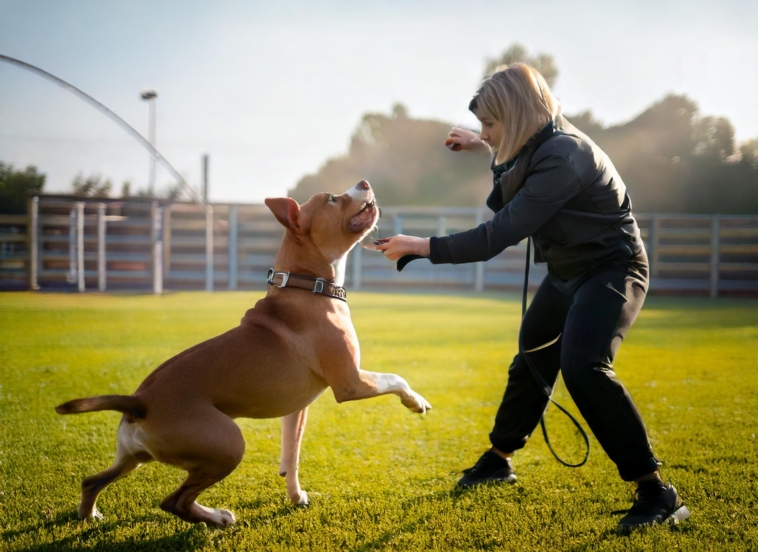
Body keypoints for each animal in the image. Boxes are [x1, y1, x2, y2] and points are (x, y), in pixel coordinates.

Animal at [55, 181, 430, 528]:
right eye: (333, 199)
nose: (364, 183)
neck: (307, 287)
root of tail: (139, 401)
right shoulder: (351, 382)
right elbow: (396, 377)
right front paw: (416, 401)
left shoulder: (296, 410)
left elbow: (291, 455)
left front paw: (295, 495)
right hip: (227, 445)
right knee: (174, 501)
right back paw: (217, 518)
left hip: (135, 458)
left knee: (92, 481)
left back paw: (90, 515)